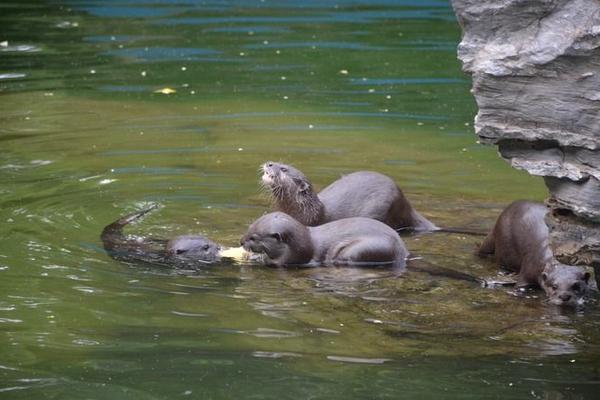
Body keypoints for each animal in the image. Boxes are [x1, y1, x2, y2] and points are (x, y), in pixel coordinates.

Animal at [239, 211, 408, 268]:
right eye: (249, 228)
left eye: (253, 237)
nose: (241, 241)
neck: (304, 243)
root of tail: (402, 251)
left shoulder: (297, 256)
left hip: (361, 250)